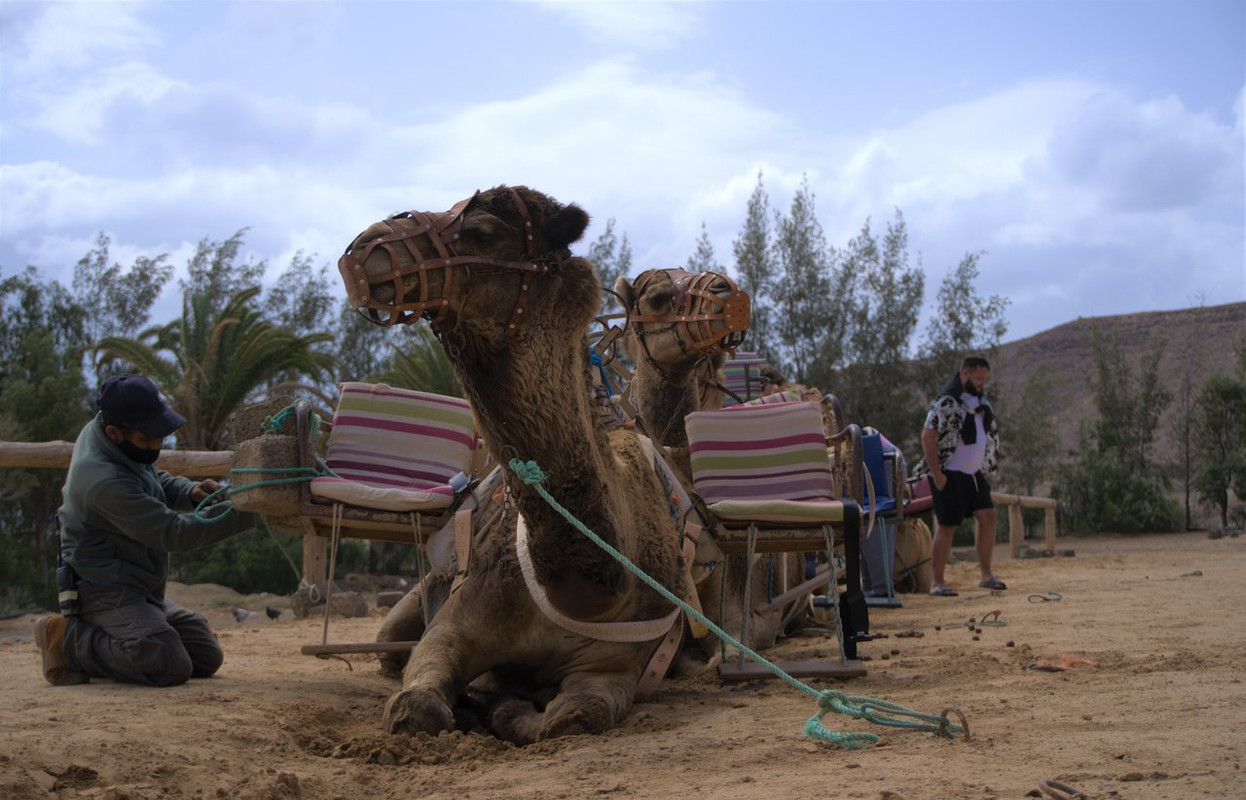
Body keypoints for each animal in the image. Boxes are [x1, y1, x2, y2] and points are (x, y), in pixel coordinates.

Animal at [336, 181, 692, 742]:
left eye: (482, 232)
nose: (363, 248)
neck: (589, 593)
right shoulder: (459, 620)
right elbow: (417, 704)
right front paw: (475, 699)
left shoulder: (618, 664)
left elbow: (574, 715)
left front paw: (505, 703)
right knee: (390, 647)